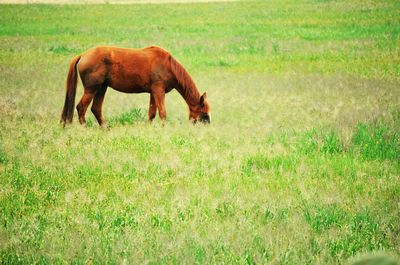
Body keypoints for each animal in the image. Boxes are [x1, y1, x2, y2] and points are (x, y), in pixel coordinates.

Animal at [59, 45, 211, 126]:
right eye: (203, 112)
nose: (207, 125)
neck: (168, 65)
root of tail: (83, 55)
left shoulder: (153, 93)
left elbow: (151, 113)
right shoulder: (159, 91)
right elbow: (162, 113)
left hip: (102, 88)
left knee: (96, 109)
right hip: (92, 89)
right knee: (81, 108)